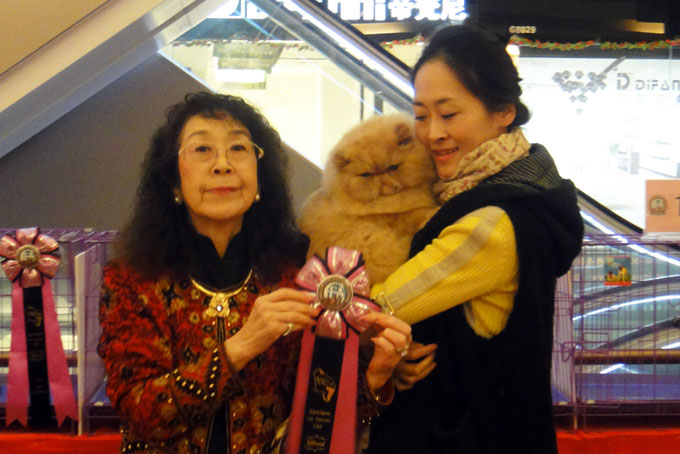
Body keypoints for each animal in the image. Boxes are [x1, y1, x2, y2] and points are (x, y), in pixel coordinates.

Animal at [299, 114, 437, 284]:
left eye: (393, 167)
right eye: (366, 175)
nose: (385, 184)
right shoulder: (399, 218)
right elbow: (418, 214)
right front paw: (434, 211)